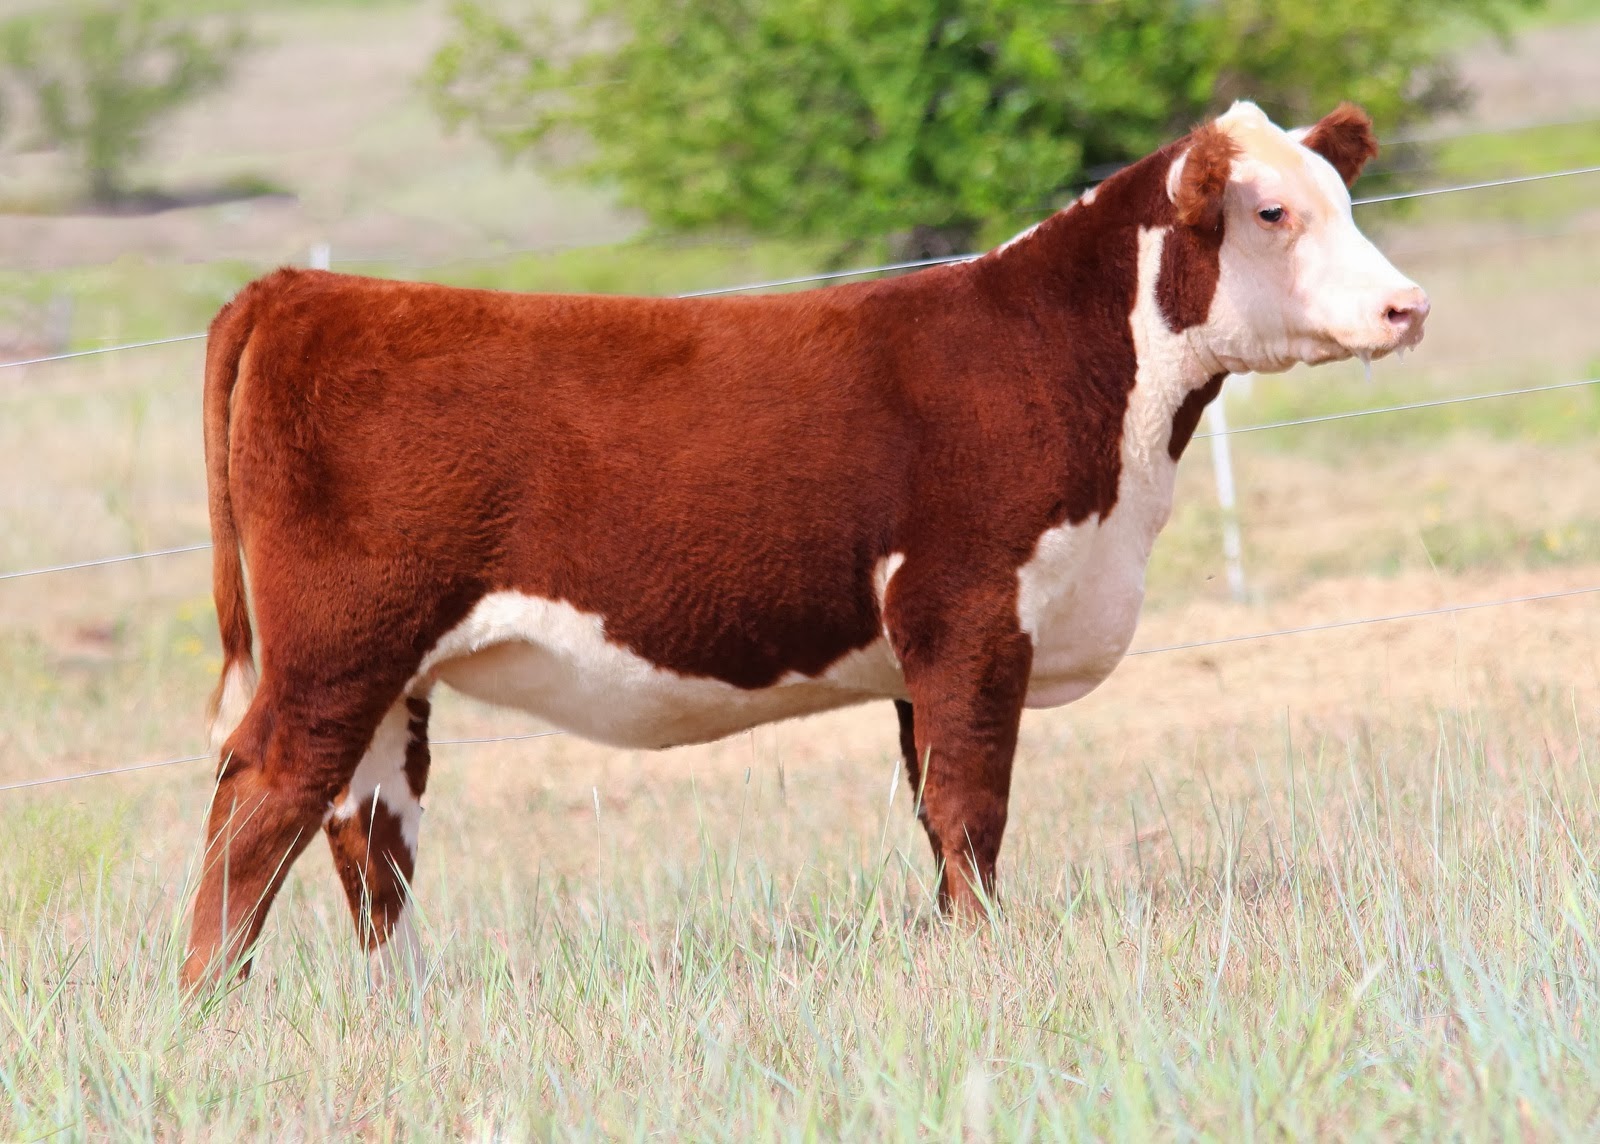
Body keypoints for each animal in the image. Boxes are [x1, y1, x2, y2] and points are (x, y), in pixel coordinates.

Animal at [182, 101, 1427, 987]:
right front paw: (989, 963)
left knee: (368, 831)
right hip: (338, 647)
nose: (1406, 306)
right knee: (262, 800)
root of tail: (307, 287)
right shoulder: (969, 613)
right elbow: (971, 808)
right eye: (1270, 213)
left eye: (1342, 196)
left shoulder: (925, 655)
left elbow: (935, 814)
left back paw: (410, 1005)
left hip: (387, 672)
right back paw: (206, 1004)